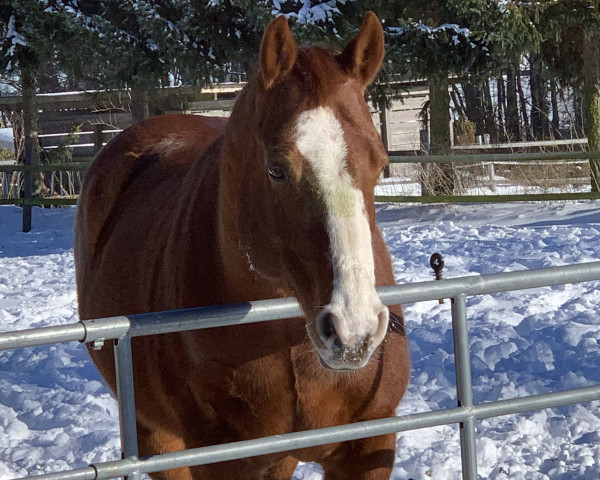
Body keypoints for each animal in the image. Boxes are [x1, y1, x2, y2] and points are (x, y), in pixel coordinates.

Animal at [75, 11, 410, 480]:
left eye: (380, 163)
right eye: (276, 169)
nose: (353, 331)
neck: (286, 339)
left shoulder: (367, 444)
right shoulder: (225, 460)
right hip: (158, 438)